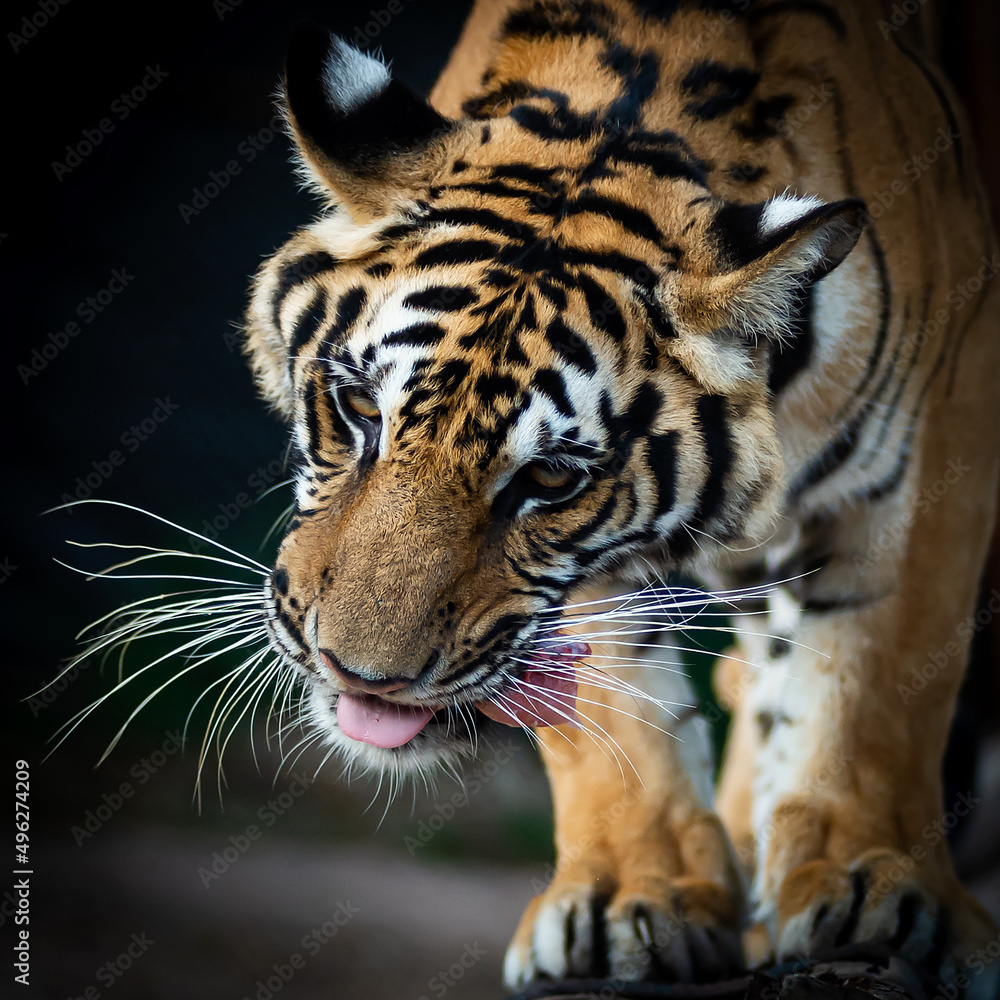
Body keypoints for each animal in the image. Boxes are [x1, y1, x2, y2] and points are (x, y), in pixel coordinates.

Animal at [242, 0, 1000, 993]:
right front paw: (630, 901)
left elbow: (880, 681)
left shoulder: (940, 432)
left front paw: (875, 889)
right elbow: (611, 708)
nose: (361, 678)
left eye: (550, 479)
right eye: (362, 407)